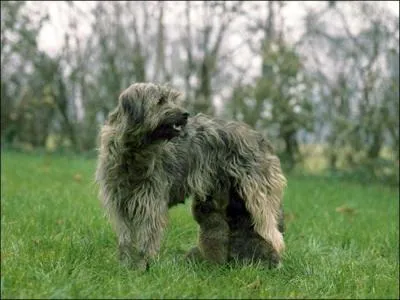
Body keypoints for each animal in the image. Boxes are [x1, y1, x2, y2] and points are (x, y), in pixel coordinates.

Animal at [95, 82, 286, 270]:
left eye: (174, 99)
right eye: (160, 101)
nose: (185, 114)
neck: (134, 152)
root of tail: (259, 137)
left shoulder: (150, 203)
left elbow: (145, 241)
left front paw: (142, 267)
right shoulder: (120, 204)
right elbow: (126, 240)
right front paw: (125, 266)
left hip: (258, 197)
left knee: (273, 234)